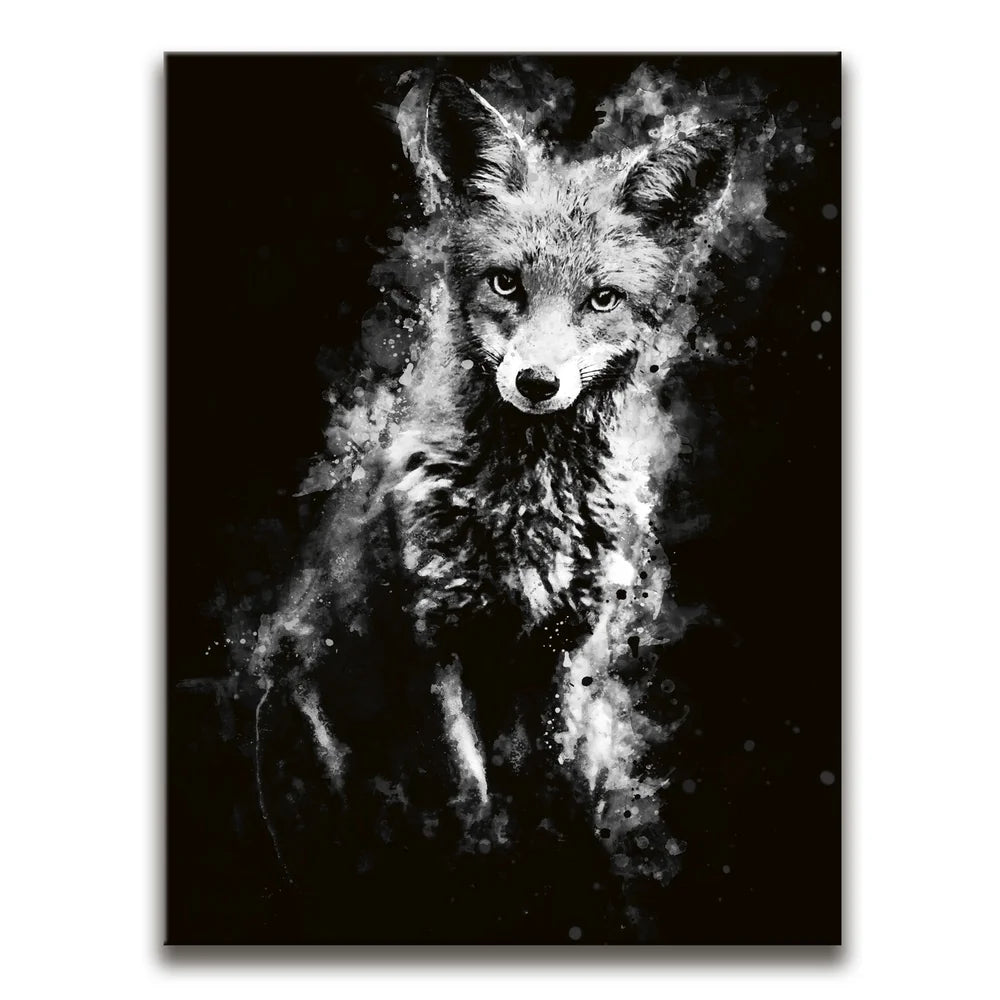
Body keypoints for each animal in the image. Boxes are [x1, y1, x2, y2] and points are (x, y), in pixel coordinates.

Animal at [248, 74, 737, 941]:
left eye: (601, 299)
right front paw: (481, 878)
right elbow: (469, 797)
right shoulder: (431, 642)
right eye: (506, 283)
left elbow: (551, 786)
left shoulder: (565, 650)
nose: (537, 383)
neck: (527, 512)